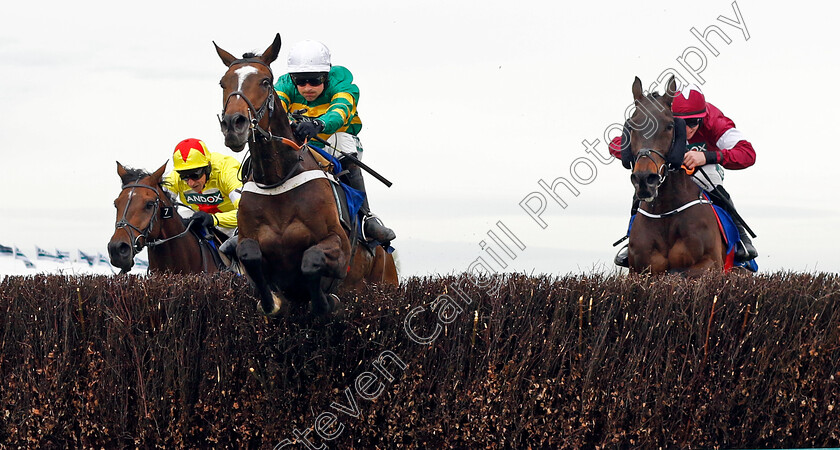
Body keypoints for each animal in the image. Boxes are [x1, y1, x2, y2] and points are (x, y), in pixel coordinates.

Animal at [213, 34, 398, 316]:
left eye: (265, 82)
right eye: (223, 83)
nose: (234, 125)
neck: (277, 180)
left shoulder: (339, 245)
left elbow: (312, 260)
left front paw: (324, 302)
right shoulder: (247, 242)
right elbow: (249, 255)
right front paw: (273, 302)